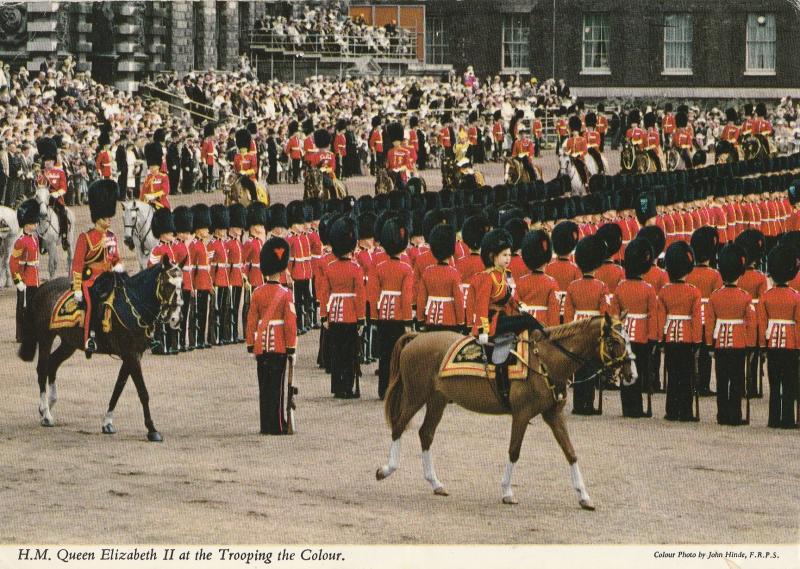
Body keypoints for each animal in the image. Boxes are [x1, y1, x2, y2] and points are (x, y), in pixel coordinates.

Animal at [17, 258, 183, 440]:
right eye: (167, 284)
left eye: (182, 284)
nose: (175, 318)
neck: (133, 305)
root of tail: (44, 286)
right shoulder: (131, 354)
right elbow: (143, 392)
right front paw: (152, 429)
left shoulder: (132, 355)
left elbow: (118, 387)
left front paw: (107, 422)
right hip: (46, 337)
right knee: (42, 369)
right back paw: (46, 414)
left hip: (69, 342)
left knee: (52, 364)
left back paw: (47, 405)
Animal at [376, 312, 636, 508]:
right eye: (614, 341)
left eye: (628, 339)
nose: (632, 375)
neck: (545, 360)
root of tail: (416, 337)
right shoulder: (521, 414)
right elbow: (514, 451)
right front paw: (507, 492)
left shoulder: (553, 415)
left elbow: (570, 452)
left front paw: (584, 496)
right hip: (415, 396)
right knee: (399, 427)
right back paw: (386, 469)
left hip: (437, 400)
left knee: (426, 433)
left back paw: (435, 483)